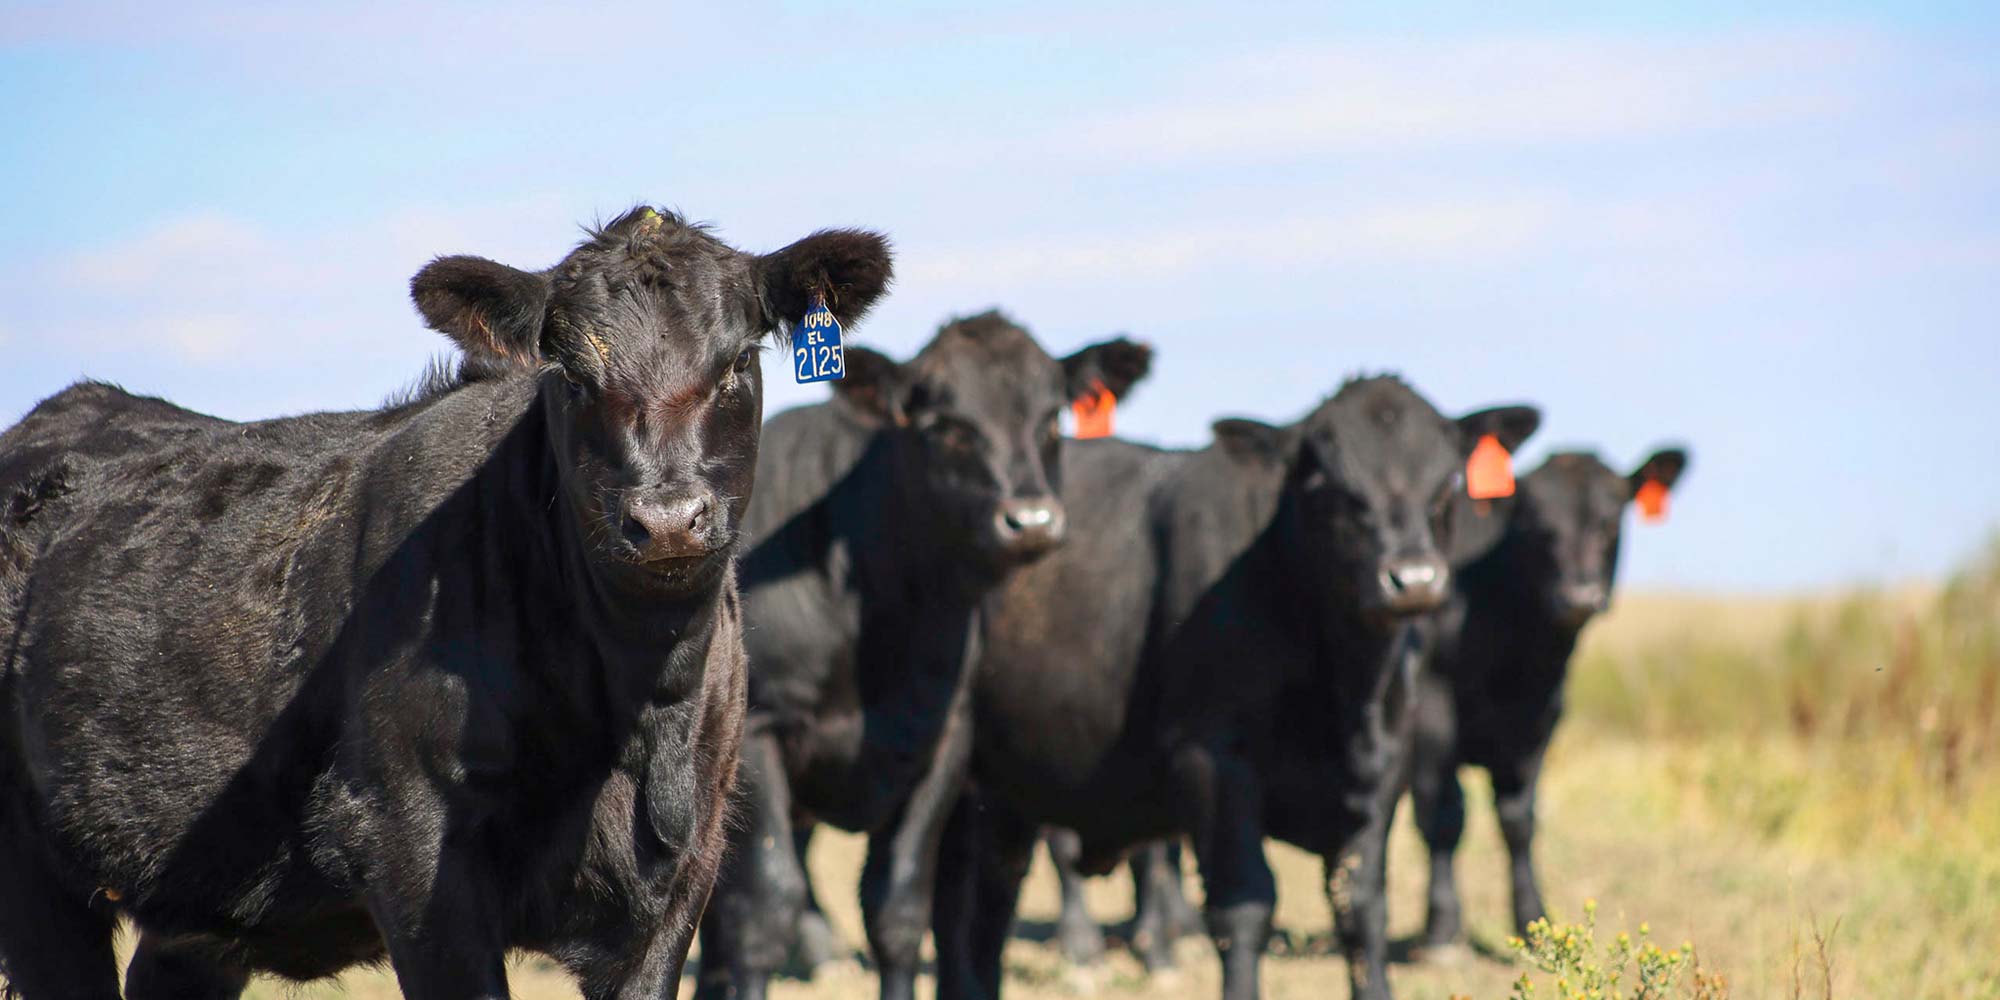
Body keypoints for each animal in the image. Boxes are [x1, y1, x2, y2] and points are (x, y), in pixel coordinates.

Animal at [0, 207, 892, 996]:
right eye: (572, 376)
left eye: (737, 361)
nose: (667, 519)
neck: (635, 705)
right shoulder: (413, 850)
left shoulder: (679, 880)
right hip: (36, 880)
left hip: (194, 913)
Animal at [696, 310, 1152, 1000]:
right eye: (946, 427)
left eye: (1051, 420)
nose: (1032, 520)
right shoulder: (758, 734)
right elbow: (764, 909)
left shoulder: (945, 741)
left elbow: (899, 909)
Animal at [928, 376, 1536, 1000]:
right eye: (1330, 485)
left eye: (1447, 482)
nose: (1413, 579)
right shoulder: (1212, 761)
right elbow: (1243, 907)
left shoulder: (1386, 769)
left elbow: (1361, 908)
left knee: (986, 907)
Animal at [1408, 446, 1688, 952]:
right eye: (1538, 527)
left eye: (1609, 522)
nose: (1579, 596)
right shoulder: (1431, 714)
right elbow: (1442, 815)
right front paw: (1441, 927)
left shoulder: (1539, 721)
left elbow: (1519, 821)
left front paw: (1531, 918)